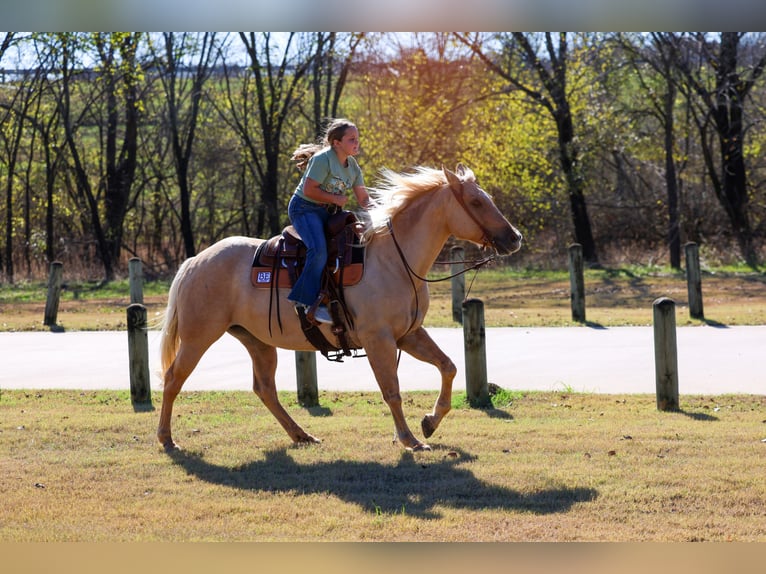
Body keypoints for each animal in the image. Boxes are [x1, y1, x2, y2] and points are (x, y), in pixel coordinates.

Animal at [157, 164, 522, 452]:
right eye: (476, 201)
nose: (515, 237)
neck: (394, 260)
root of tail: (194, 261)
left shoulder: (409, 334)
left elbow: (448, 367)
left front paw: (429, 422)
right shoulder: (378, 340)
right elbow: (392, 390)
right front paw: (409, 439)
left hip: (257, 341)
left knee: (265, 389)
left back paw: (302, 435)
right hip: (198, 336)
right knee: (174, 378)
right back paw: (166, 438)